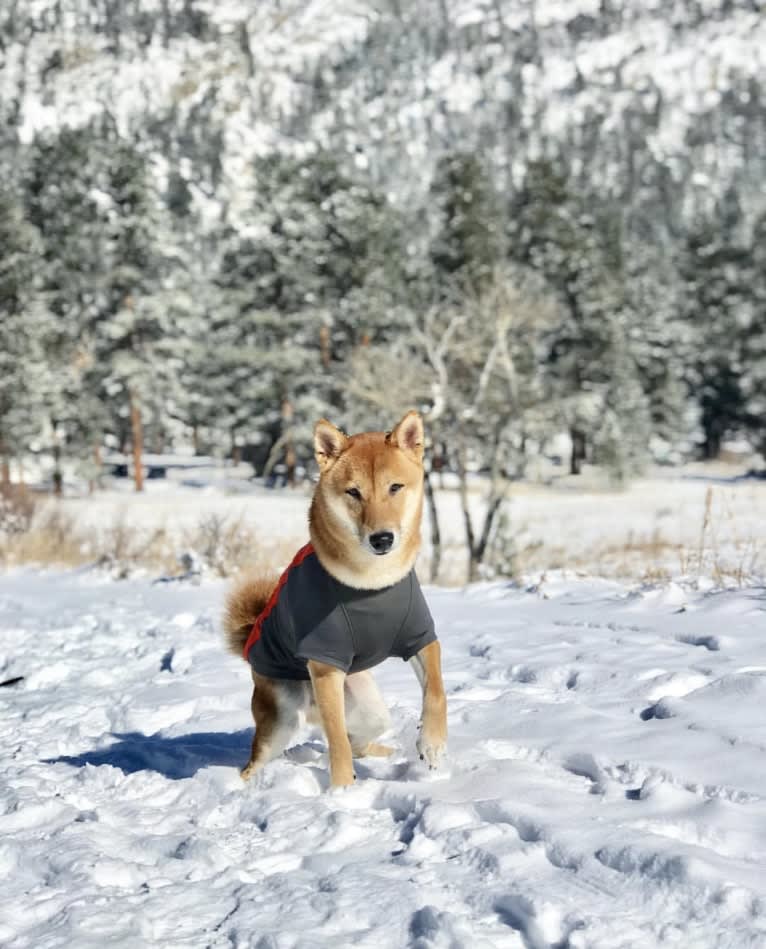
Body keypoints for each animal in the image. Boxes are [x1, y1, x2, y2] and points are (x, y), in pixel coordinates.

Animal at [222, 412, 448, 788]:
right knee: (257, 761)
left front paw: (431, 743)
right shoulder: (325, 663)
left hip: (370, 707)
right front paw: (342, 791)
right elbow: (337, 741)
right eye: (354, 492)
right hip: (283, 719)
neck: (370, 583)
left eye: (395, 487)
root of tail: (251, 640)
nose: (382, 539)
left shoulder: (420, 636)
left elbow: (436, 692)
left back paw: (386, 753)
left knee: (360, 739)